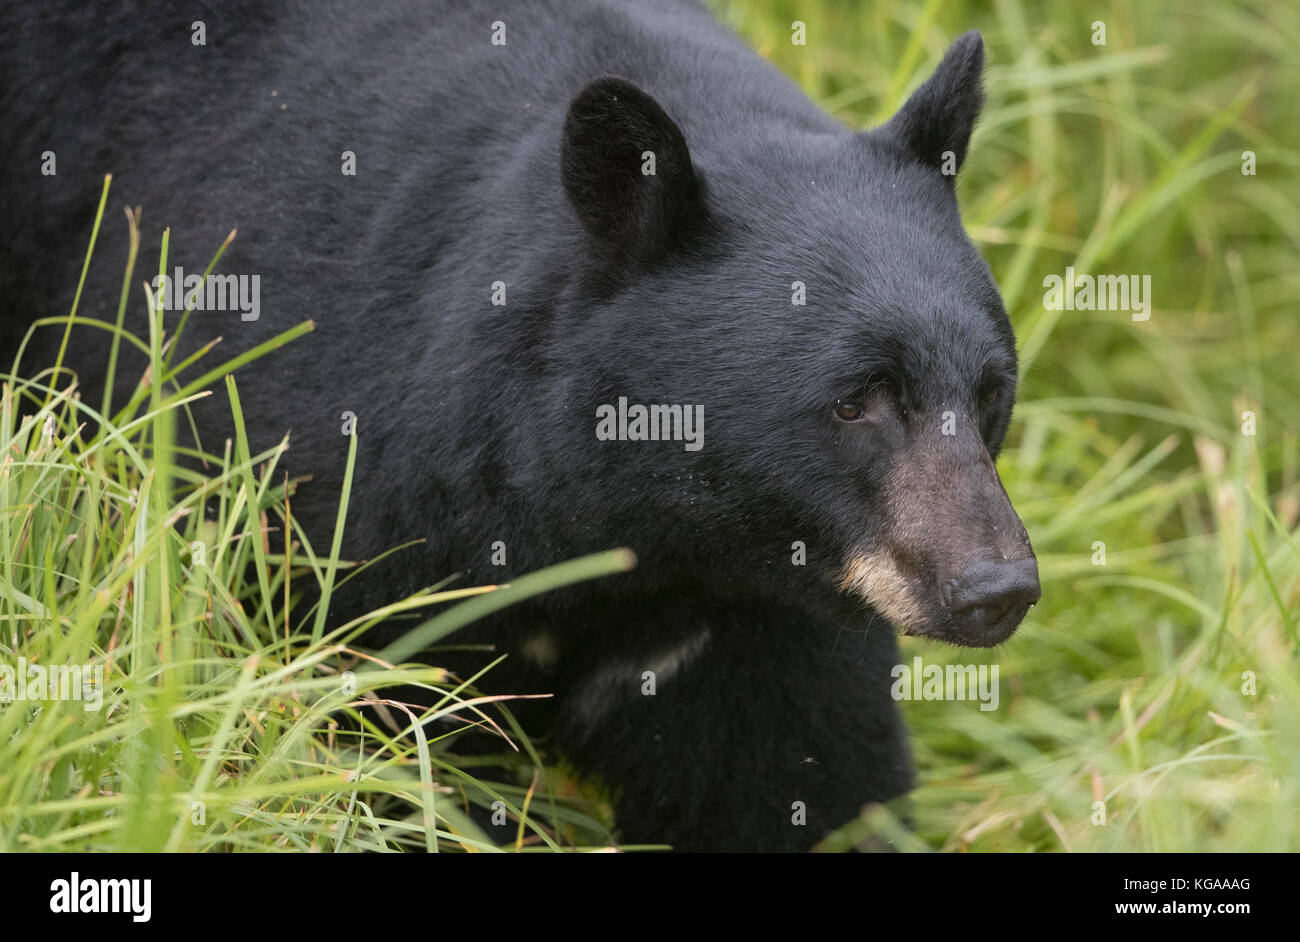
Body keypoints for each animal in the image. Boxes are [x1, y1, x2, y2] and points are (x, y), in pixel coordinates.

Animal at [0, 1, 1034, 852]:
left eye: (990, 392)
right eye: (856, 399)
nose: (996, 588)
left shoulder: (760, 615)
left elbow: (795, 781)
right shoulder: (342, 524)